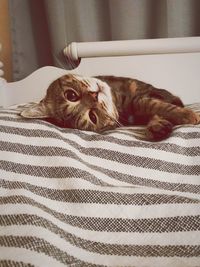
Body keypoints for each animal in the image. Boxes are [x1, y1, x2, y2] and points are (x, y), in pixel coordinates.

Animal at [20, 75, 200, 142]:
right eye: (93, 117)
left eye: (71, 95)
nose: (94, 96)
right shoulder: (140, 102)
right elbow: (152, 106)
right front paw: (159, 127)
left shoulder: (149, 94)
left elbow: (155, 105)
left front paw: (188, 114)